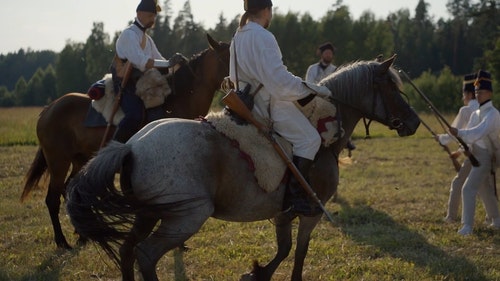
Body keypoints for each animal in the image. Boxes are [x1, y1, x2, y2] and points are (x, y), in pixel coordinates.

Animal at [20, 34, 229, 248]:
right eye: (228, 56)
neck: (174, 103)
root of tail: (49, 109)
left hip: (79, 160)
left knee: (70, 189)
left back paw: (82, 234)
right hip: (58, 162)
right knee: (52, 199)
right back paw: (63, 242)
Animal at [65, 55, 418, 280]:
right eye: (392, 88)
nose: (413, 122)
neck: (321, 130)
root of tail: (132, 146)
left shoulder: (283, 214)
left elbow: (285, 249)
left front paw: (257, 273)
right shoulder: (311, 214)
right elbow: (298, 255)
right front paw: (261, 272)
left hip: (148, 214)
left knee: (127, 251)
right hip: (186, 217)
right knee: (146, 255)